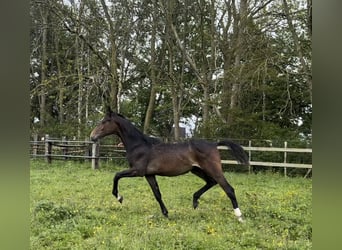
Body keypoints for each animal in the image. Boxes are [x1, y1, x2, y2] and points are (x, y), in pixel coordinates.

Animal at [90, 108, 248, 222]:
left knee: (228, 189)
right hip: (197, 170)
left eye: (104, 121)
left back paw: (239, 217)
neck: (139, 145)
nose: (92, 137)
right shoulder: (149, 174)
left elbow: (116, 176)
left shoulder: (137, 171)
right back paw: (195, 201)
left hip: (213, 169)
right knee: (211, 182)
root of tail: (214, 144)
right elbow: (157, 194)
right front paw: (166, 214)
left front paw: (119, 197)